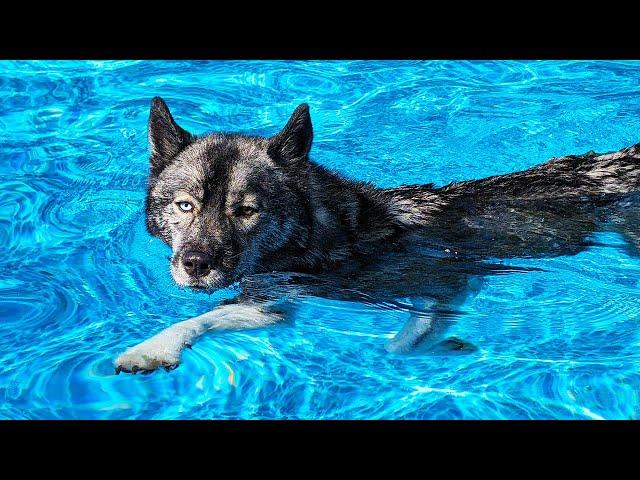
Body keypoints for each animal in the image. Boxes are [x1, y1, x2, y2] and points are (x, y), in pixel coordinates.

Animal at [115, 98, 640, 376]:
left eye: (246, 211)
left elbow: (399, 346)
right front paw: (155, 344)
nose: (195, 265)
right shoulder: (273, 304)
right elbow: (205, 319)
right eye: (185, 205)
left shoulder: (447, 283)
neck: (328, 232)